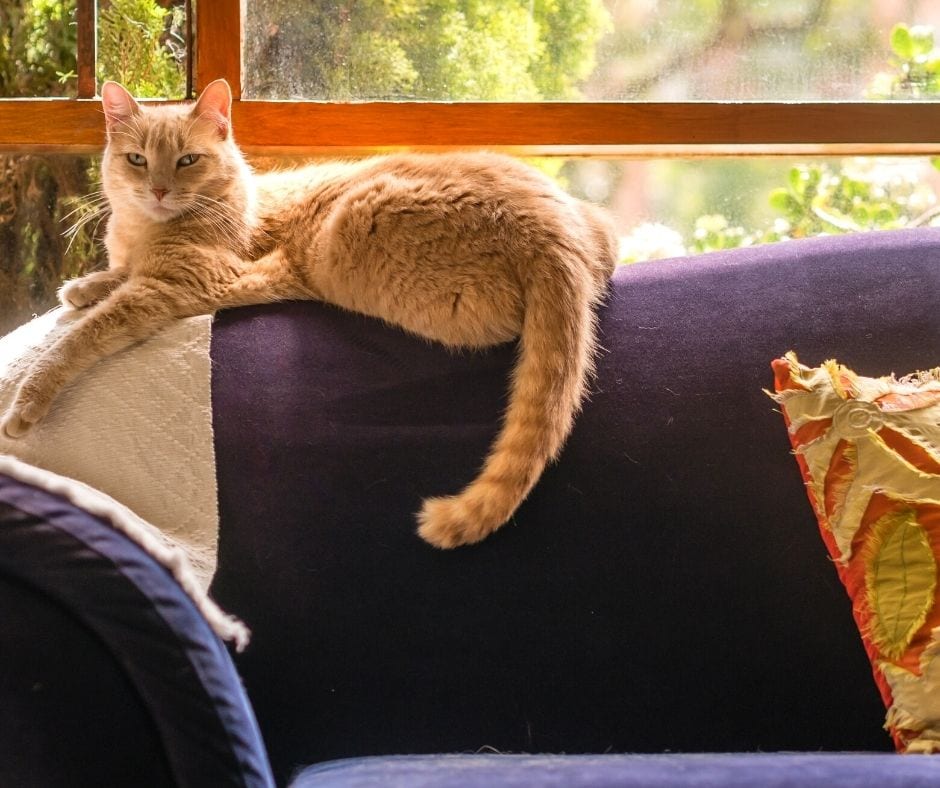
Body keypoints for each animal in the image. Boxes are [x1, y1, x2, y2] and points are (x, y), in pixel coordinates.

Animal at [3, 80, 620, 548]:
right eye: (136, 159)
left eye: (187, 160)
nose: (156, 189)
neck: (148, 231)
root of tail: (550, 232)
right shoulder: (141, 268)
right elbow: (108, 282)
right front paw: (82, 285)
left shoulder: (180, 286)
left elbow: (83, 336)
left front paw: (26, 403)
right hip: (592, 227)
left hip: (346, 235)